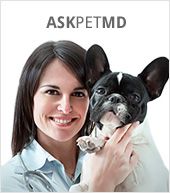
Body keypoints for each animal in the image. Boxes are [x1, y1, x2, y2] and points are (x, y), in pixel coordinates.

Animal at [70, 45, 169, 191]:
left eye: (134, 97)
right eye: (100, 91)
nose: (115, 98)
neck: (113, 132)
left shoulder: (138, 180)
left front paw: (93, 141)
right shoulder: (84, 183)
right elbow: (74, 187)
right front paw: (92, 141)